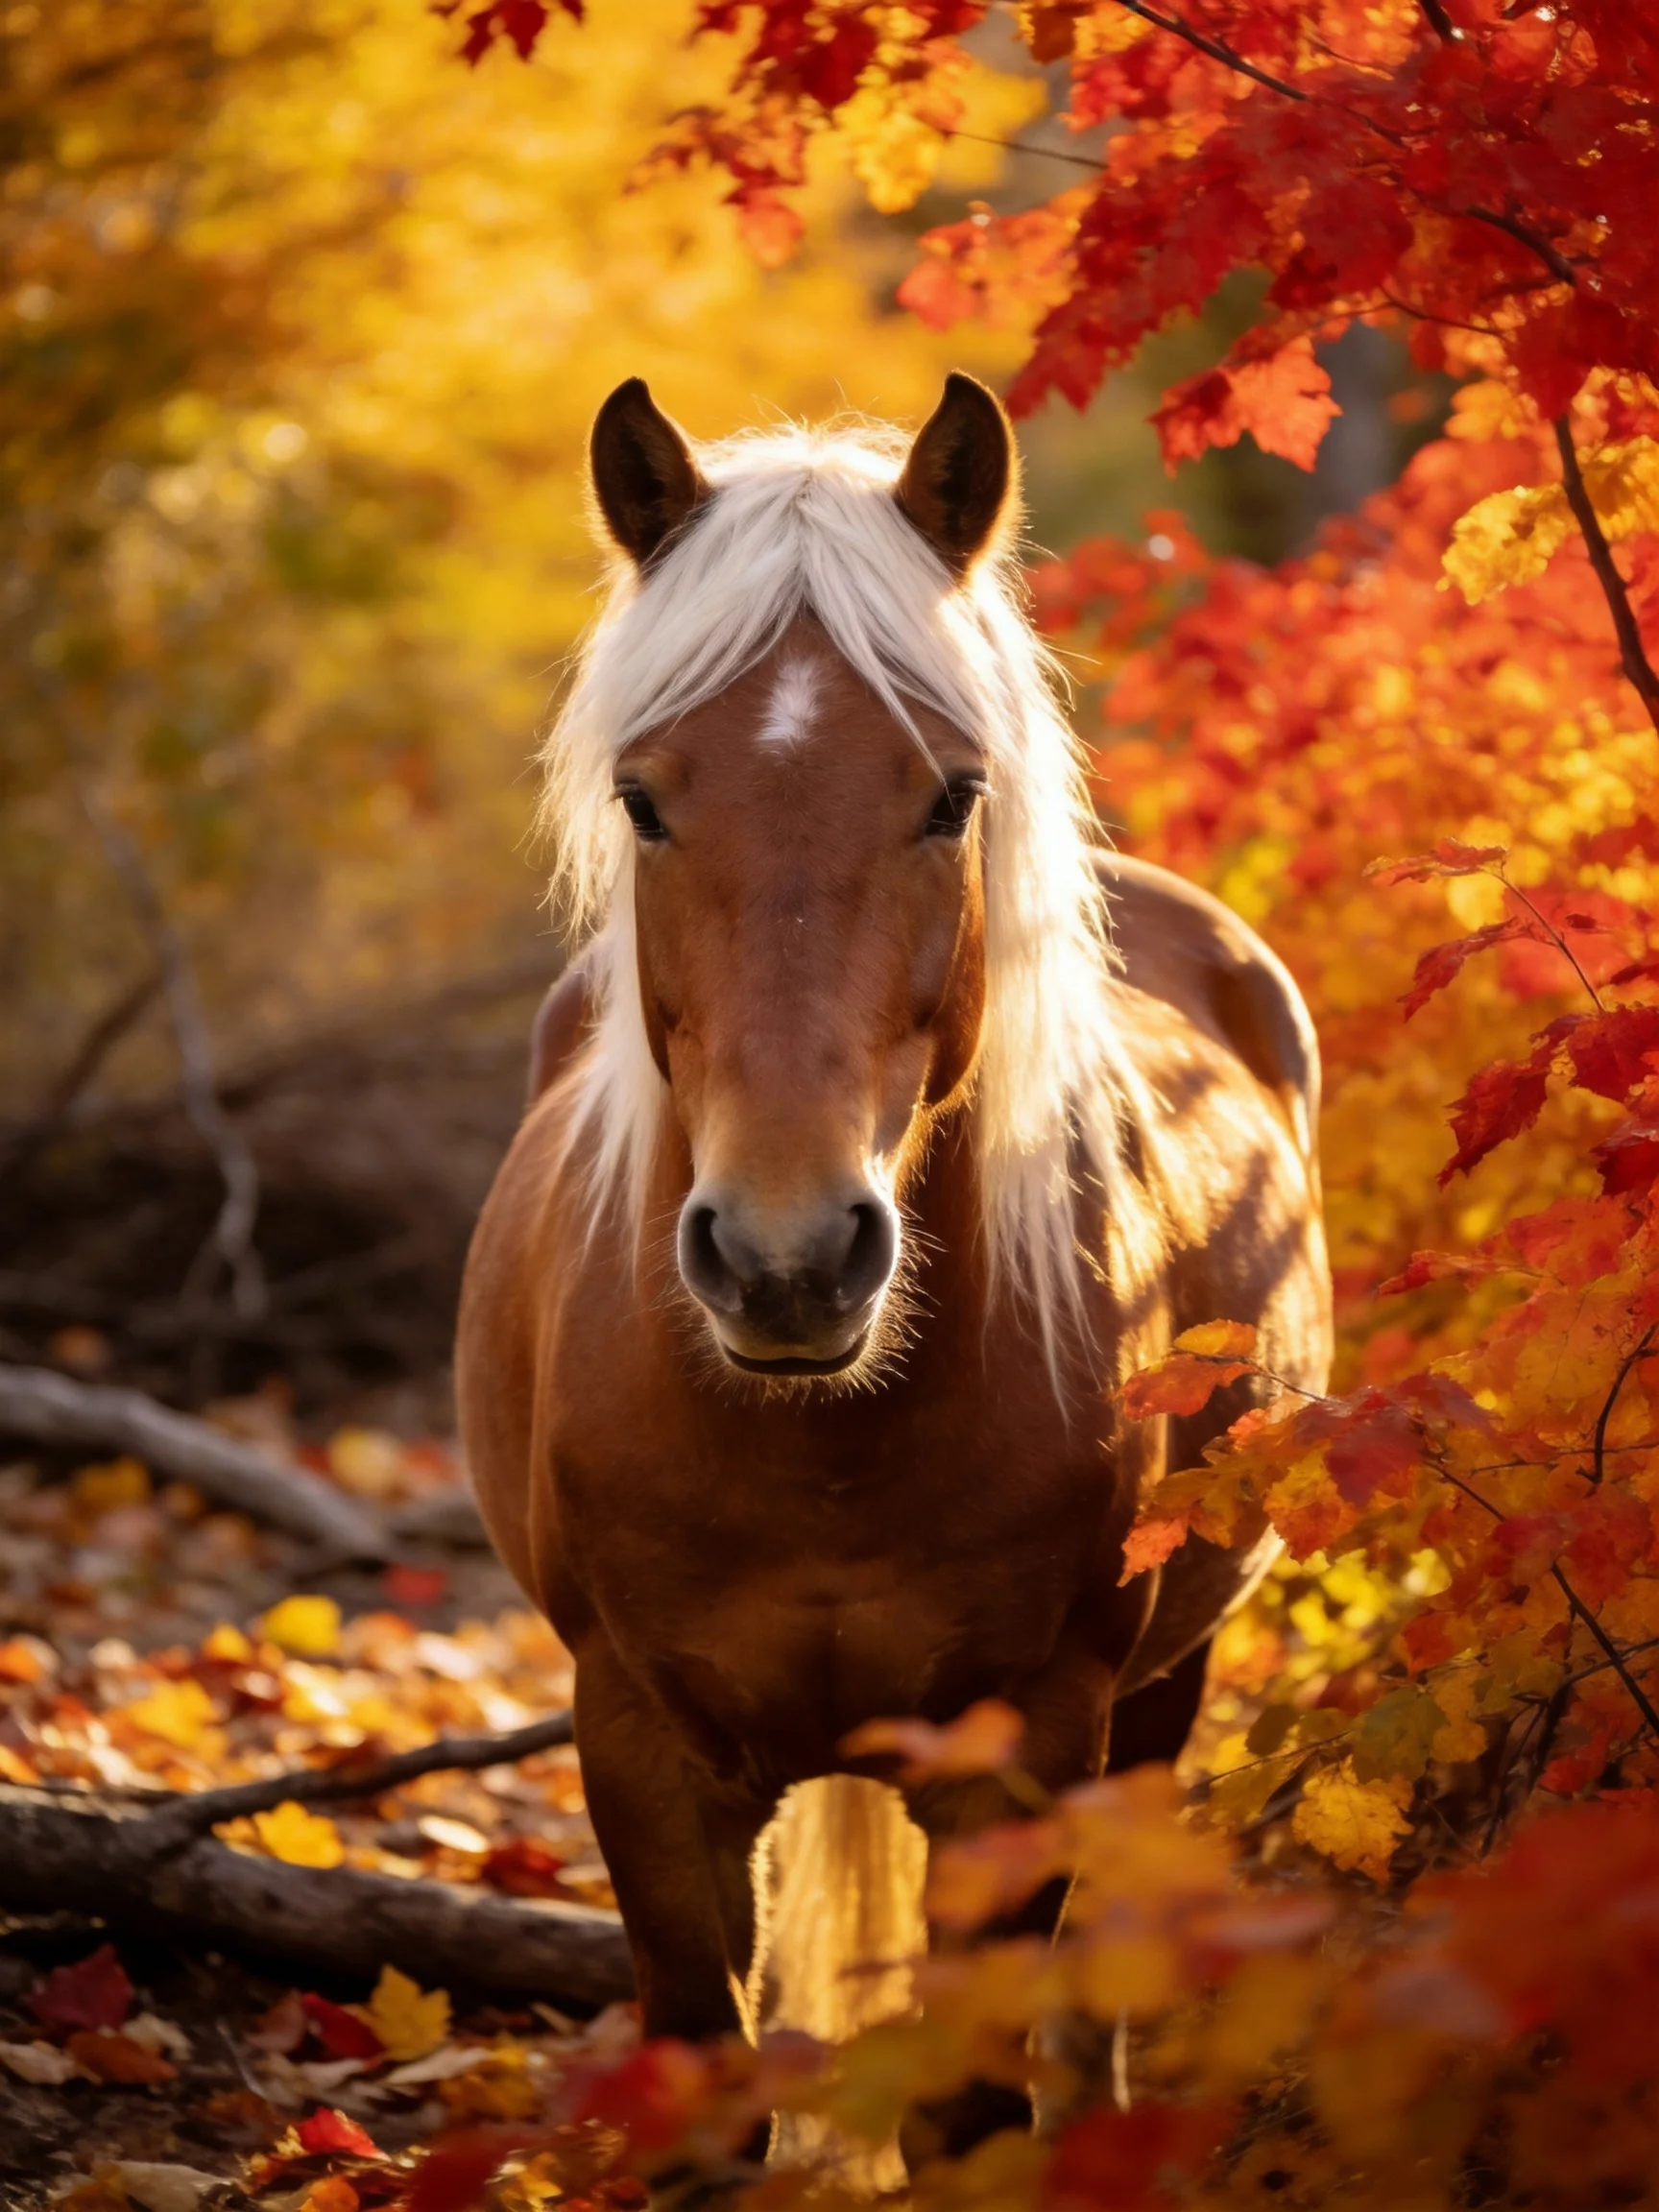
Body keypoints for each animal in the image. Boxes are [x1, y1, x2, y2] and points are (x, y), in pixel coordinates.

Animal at [457, 372, 1332, 2174]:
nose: (787, 1257)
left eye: (948, 794)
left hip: (1157, 1697)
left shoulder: (1027, 1746)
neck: (822, 1448)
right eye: (646, 798)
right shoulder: (635, 1752)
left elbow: (974, 2104)